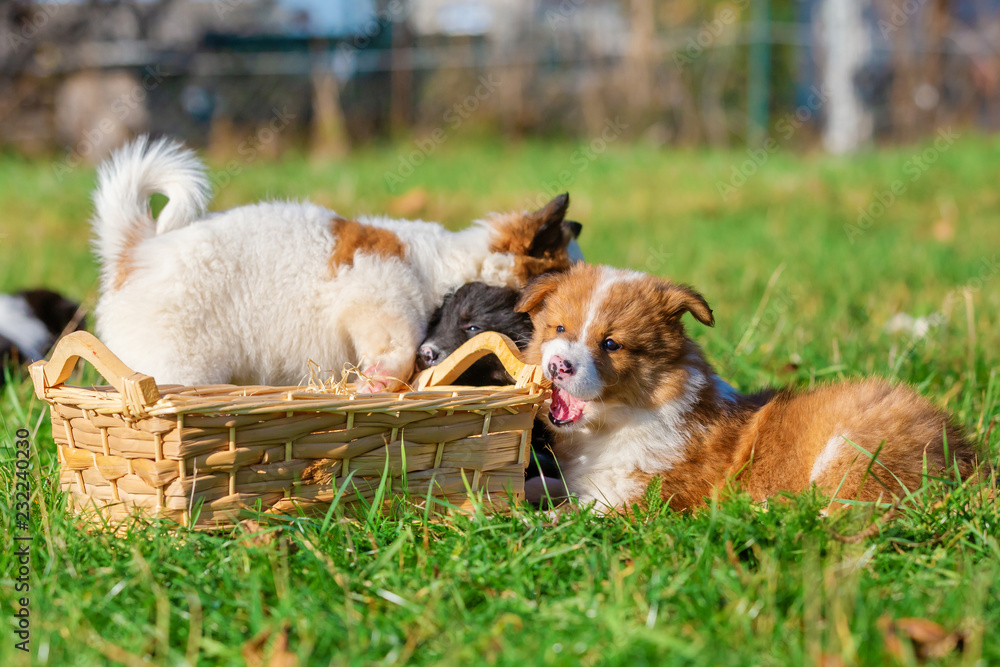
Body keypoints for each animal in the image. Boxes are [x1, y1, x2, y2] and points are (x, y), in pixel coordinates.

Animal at [516, 264, 976, 516]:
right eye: (559, 328)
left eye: (611, 344)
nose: (558, 366)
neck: (613, 425)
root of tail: (969, 458)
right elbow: (548, 484)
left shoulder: (635, 501)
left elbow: (574, 516)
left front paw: (530, 523)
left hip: (856, 449)